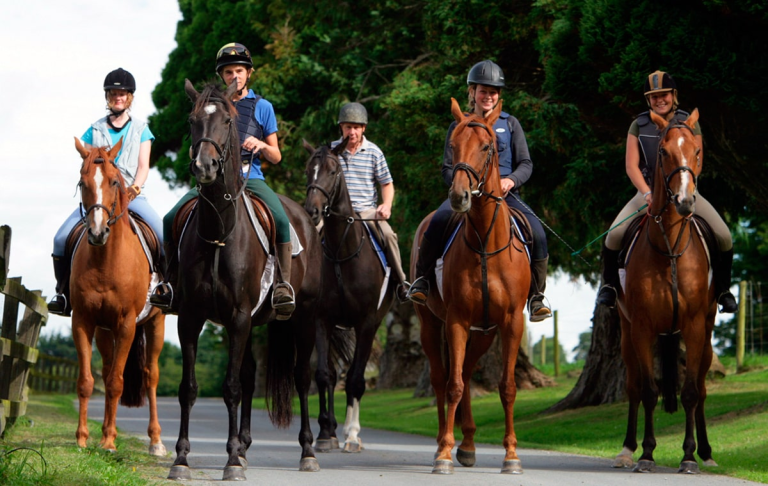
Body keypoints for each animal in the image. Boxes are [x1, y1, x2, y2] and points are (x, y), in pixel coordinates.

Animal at [70, 138, 166, 456]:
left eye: (114, 181)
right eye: (82, 181)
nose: (98, 232)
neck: (105, 261)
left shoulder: (126, 325)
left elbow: (115, 383)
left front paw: (111, 442)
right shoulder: (83, 322)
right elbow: (87, 381)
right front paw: (83, 438)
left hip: (155, 323)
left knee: (150, 376)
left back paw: (156, 441)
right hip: (104, 331)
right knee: (107, 367)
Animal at [168, 79, 320, 482]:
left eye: (226, 121)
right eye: (192, 120)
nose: (204, 166)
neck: (220, 231)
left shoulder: (237, 317)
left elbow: (232, 387)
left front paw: (232, 462)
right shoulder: (191, 317)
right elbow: (189, 388)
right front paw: (182, 459)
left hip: (304, 317)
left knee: (301, 377)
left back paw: (307, 451)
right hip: (252, 323)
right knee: (252, 375)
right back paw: (245, 445)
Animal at [302, 140, 396, 452]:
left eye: (333, 171)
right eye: (309, 169)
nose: (313, 210)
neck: (342, 251)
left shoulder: (366, 324)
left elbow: (355, 379)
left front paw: (352, 434)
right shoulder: (322, 320)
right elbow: (323, 375)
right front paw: (324, 434)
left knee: (353, 374)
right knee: (331, 375)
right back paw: (330, 429)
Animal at [412, 98, 532, 474]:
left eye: (487, 146)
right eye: (452, 146)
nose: (459, 196)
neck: (484, 241)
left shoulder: (511, 322)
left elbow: (507, 387)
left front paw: (511, 456)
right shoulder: (456, 320)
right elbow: (452, 385)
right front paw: (443, 455)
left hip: (484, 333)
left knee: (465, 371)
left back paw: (467, 445)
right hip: (430, 323)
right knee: (442, 378)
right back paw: (445, 442)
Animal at [608, 108, 716, 472]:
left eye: (697, 151)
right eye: (664, 152)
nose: (685, 201)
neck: (669, 245)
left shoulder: (695, 326)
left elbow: (691, 392)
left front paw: (689, 456)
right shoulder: (642, 327)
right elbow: (648, 392)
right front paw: (646, 453)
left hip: (705, 333)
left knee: (701, 387)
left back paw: (707, 453)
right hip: (627, 333)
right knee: (633, 387)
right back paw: (626, 449)